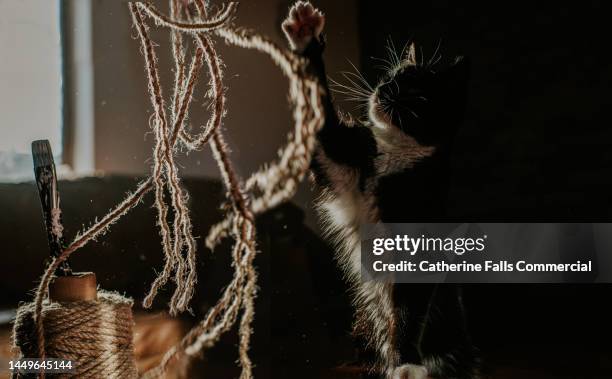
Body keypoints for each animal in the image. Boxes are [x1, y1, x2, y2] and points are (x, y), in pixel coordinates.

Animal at [282, 2, 478, 379]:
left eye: (415, 93)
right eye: (390, 78)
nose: (384, 90)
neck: (390, 162)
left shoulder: (419, 249)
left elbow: (407, 310)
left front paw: (405, 362)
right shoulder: (340, 160)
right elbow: (318, 112)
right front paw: (306, 38)